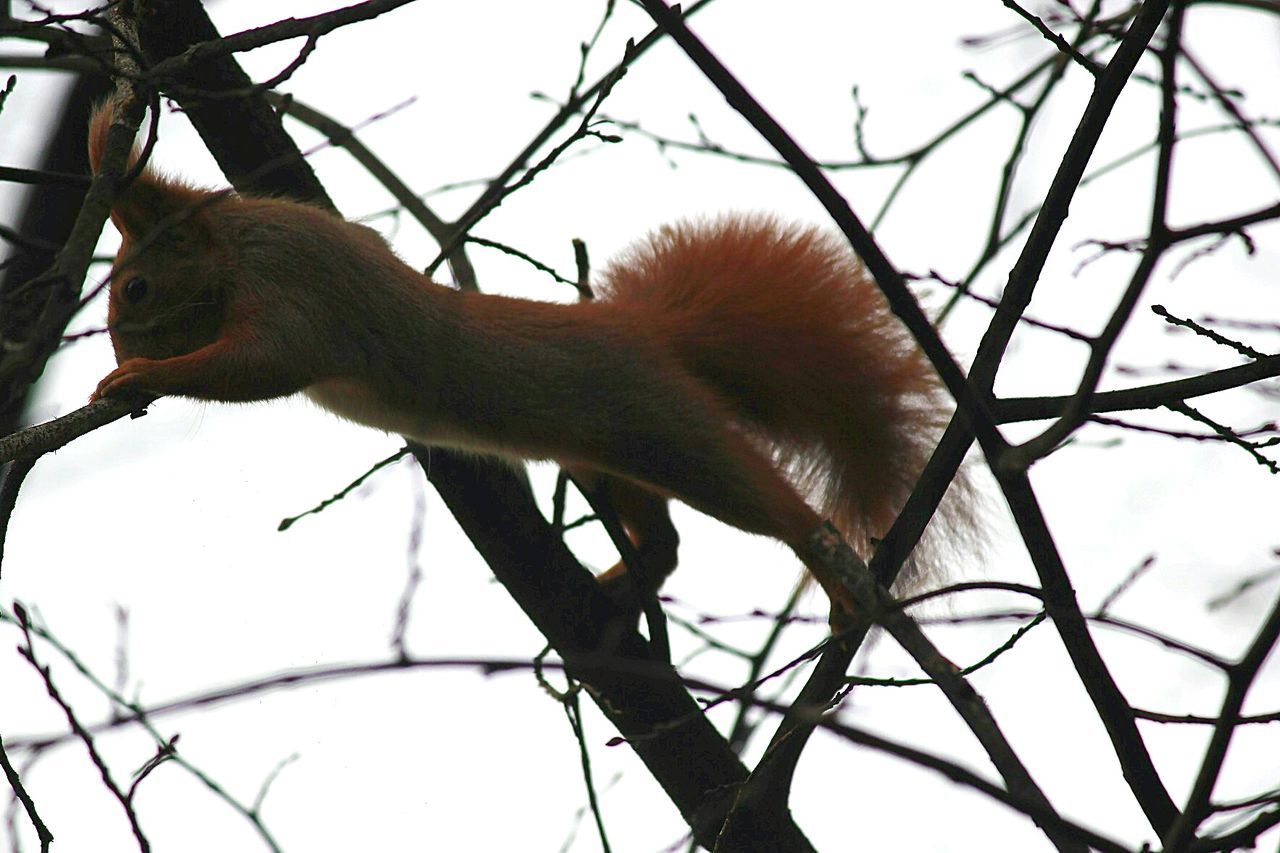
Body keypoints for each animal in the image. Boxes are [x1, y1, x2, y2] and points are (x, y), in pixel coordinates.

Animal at [87, 103, 967, 614]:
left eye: (134, 289)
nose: (123, 343)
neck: (237, 250)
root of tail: (640, 330)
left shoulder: (296, 293)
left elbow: (260, 367)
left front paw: (140, 376)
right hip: (608, 458)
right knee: (664, 538)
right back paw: (624, 587)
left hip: (673, 433)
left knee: (767, 503)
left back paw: (834, 572)